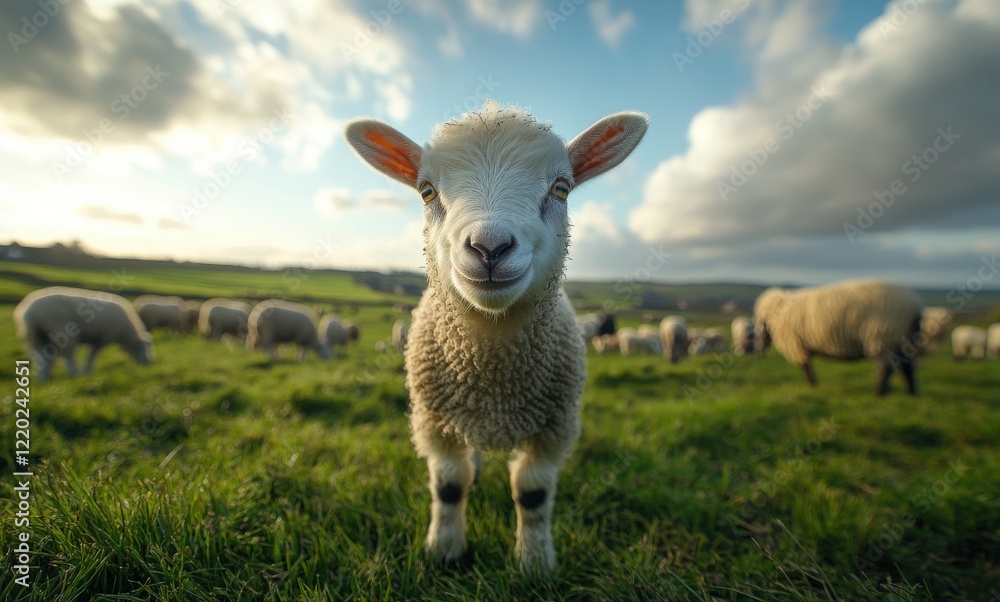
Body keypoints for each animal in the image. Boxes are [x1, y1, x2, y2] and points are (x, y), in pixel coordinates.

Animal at [14, 286, 153, 381]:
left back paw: (43, 378)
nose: (147, 364)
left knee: (41, 356)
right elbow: (93, 354)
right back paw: (75, 374)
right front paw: (87, 371)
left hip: (35, 335)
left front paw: (88, 371)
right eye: (142, 347)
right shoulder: (102, 338)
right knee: (67, 354)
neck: (126, 332)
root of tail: (31, 311)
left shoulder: (97, 338)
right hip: (60, 329)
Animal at [345, 100, 648, 574]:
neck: (493, 377)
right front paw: (445, 549)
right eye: (426, 192)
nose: (489, 248)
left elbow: (533, 493)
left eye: (562, 188)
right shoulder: (434, 423)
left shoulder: (554, 428)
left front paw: (534, 562)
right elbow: (449, 485)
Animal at [753, 279, 923, 396]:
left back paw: (878, 393)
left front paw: (811, 384)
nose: (759, 353)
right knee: (907, 366)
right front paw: (813, 384)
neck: (776, 310)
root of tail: (914, 306)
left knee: (885, 367)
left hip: (883, 335)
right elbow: (807, 364)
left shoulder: (796, 343)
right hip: (904, 339)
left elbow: (805, 365)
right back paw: (911, 393)